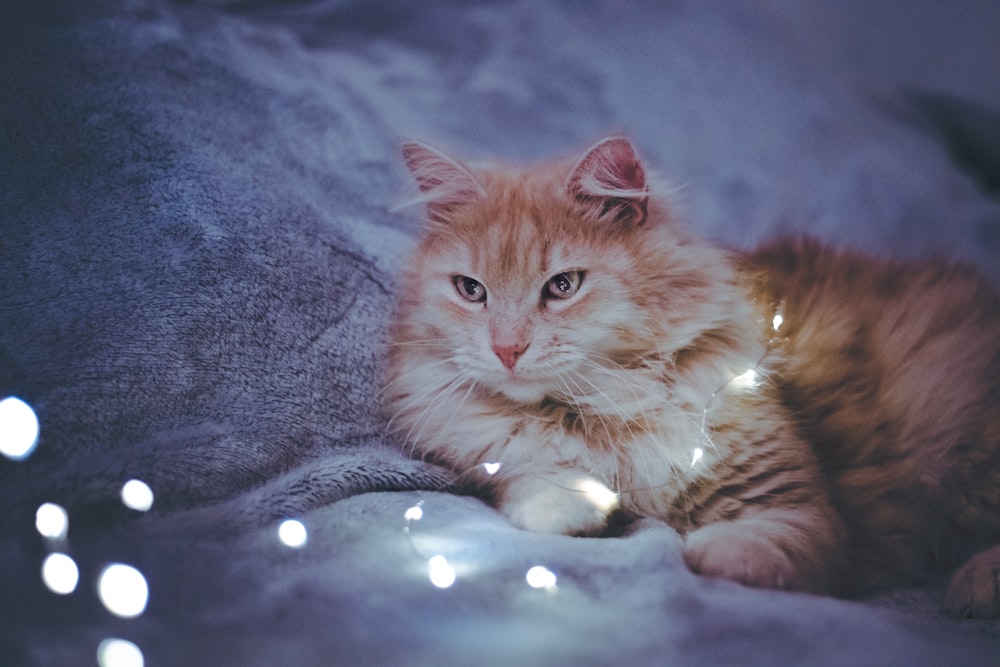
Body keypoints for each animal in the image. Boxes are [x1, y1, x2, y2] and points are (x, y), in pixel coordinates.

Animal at [382, 137, 1000, 620]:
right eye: (471, 290)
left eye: (562, 286)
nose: (506, 348)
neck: (603, 408)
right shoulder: (499, 456)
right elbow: (537, 481)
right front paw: (580, 503)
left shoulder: (802, 510)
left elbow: (755, 546)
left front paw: (697, 550)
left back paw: (973, 588)